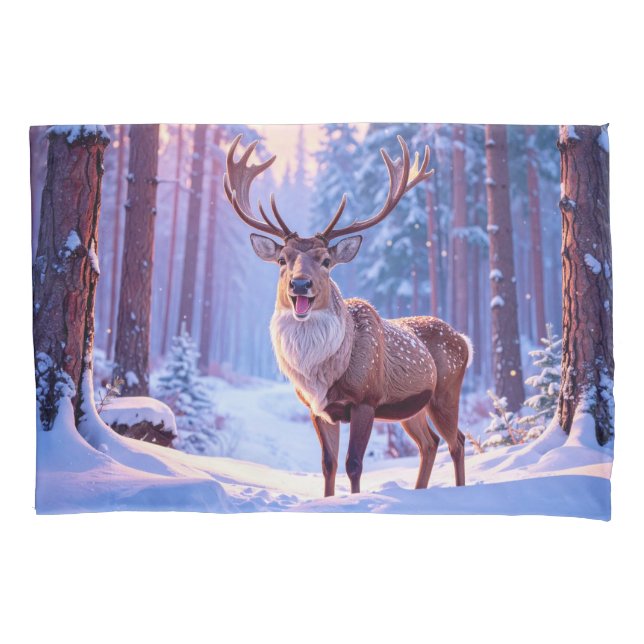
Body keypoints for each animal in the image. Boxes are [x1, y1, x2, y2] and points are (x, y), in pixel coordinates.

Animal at [223, 133, 472, 497]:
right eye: (282, 259)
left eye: (326, 260)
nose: (300, 284)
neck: (320, 375)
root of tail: (466, 341)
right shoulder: (317, 409)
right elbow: (328, 464)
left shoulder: (365, 398)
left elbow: (354, 464)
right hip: (411, 407)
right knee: (430, 443)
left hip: (446, 392)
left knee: (458, 441)